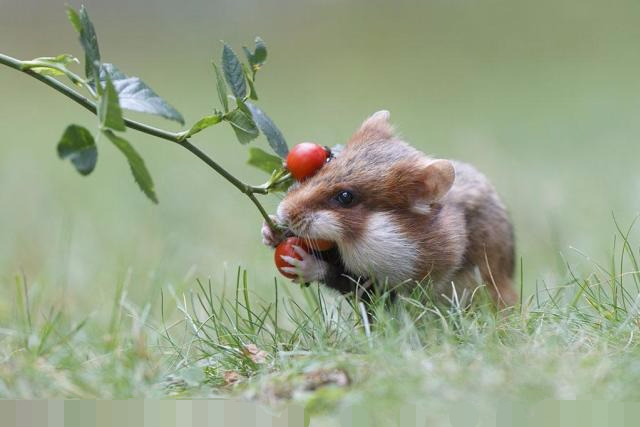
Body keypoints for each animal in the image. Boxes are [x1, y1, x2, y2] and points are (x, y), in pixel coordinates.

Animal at [262, 110, 516, 304]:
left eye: (345, 197)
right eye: (326, 162)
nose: (283, 212)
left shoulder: (397, 282)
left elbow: (343, 278)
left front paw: (301, 264)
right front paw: (269, 231)